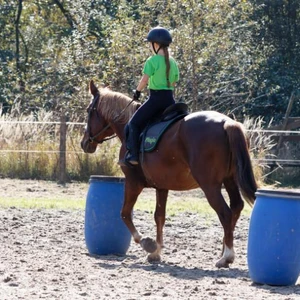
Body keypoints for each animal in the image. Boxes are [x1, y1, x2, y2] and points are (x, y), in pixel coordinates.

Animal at [81, 79, 256, 268]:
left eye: (89, 110)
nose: (84, 143)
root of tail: (227, 123)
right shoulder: (162, 186)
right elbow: (159, 216)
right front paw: (156, 253)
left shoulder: (133, 182)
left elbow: (125, 213)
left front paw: (147, 243)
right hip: (229, 180)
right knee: (236, 207)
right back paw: (223, 251)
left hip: (210, 185)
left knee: (225, 213)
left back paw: (226, 257)